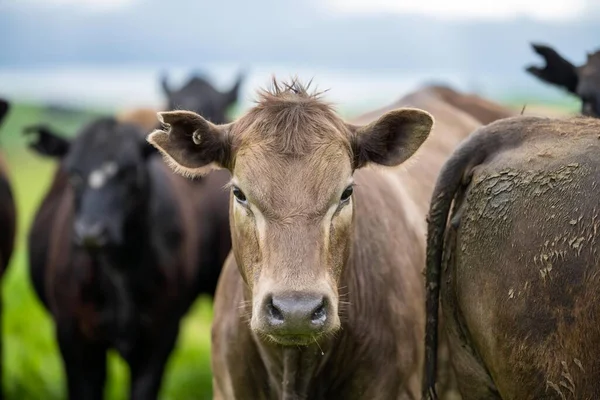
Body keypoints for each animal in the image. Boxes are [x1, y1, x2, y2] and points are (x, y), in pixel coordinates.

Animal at [24, 119, 230, 400]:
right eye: (74, 174)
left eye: (130, 172)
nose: (91, 233)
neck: (118, 270)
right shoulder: (73, 337)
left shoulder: (160, 337)